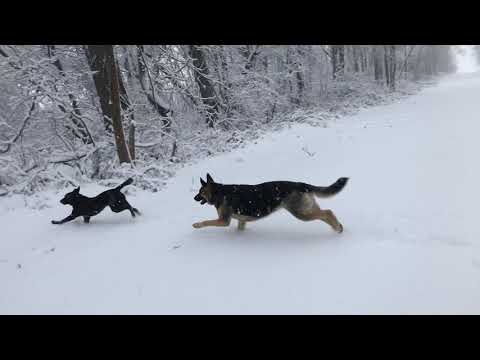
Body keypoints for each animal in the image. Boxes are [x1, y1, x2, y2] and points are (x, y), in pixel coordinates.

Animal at [192, 174, 348, 233]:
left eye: (200, 192)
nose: (194, 198)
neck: (220, 192)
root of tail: (301, 184)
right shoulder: (241, 220)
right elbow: (240, 228)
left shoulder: (223, 221)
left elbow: (207, 222)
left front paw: (197, 225)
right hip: (306, 209)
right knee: (325, 213)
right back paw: (338, 227)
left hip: (302, 213)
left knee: (327, 212)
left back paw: (337, 228)